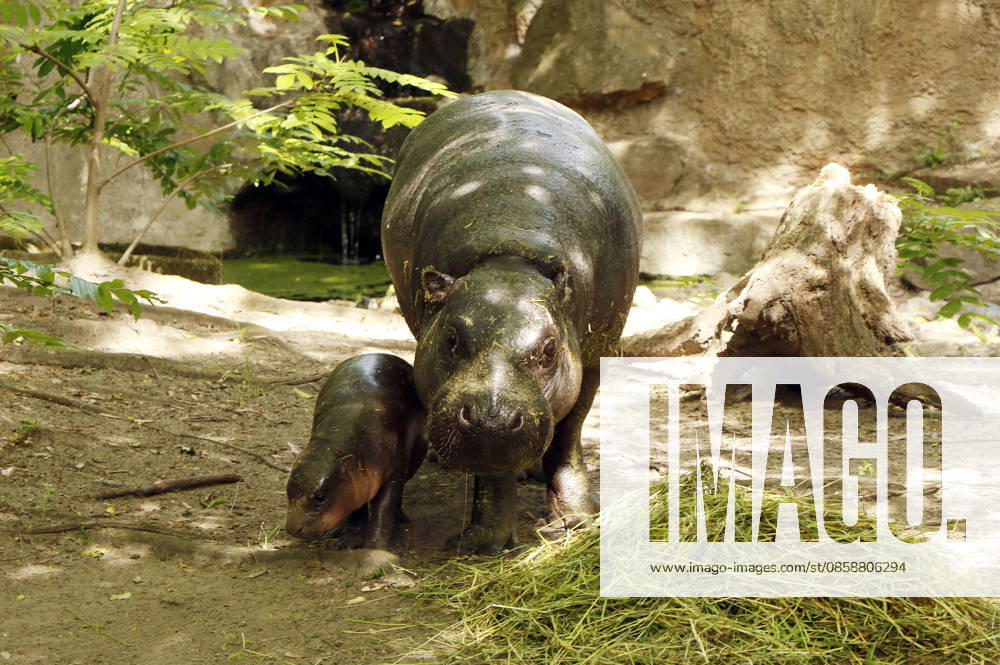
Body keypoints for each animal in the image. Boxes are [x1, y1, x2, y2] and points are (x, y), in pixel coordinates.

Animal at [285, 353, 426, 550]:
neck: (334, 445)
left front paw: (375, 547)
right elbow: (356, 511)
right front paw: (347, 544)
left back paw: (401, 520)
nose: (291, 529)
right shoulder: (354, 483)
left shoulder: (392, 475)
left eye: (320, 497)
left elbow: (383, 510)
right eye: (288, 488)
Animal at [381, 90, 642, 552]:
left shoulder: (595, 358)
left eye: (550, 348)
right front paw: (484, 541)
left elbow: (568, 435)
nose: (491, 419)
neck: (511, 254)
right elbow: (493, 472)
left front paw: (579, 519)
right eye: (451, 338)